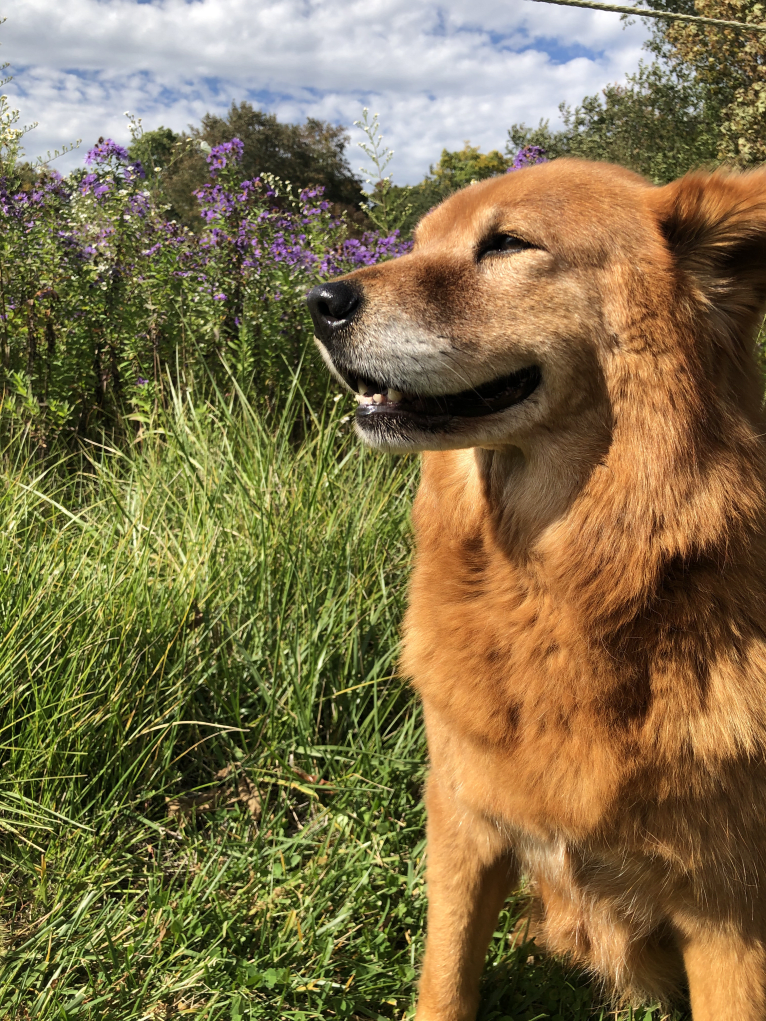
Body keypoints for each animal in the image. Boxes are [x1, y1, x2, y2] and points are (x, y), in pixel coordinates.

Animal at [308, 159, 766, 1021]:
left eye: (508, 244)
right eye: (421, 241)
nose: (319, 302)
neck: (549, 590)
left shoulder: (731, 918)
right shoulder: (463, 818)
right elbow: (446, 977)